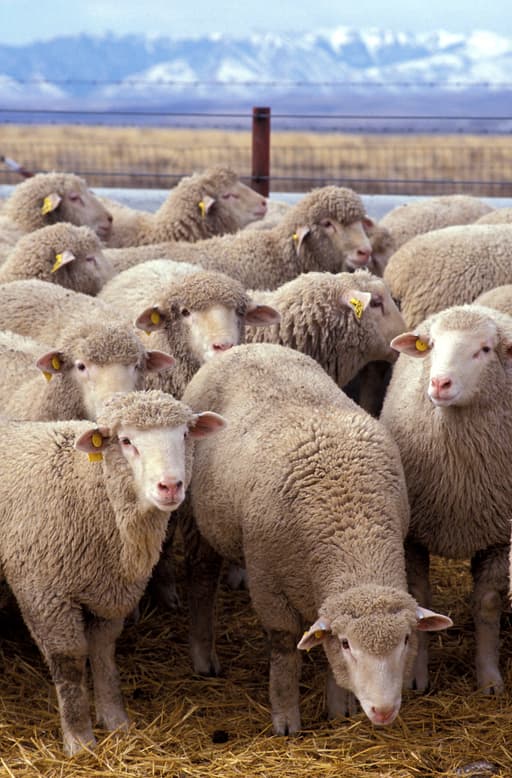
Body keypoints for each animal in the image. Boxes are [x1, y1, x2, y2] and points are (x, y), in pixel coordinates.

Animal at [0, 389, 225, 754]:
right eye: (126, 441)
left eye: (185, 435)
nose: (170, 486)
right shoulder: (44, 592)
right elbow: (70, 662)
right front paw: (79, 739)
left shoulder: (110, 590)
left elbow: (104, 654)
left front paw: (116, 721)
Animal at [179, 343, 452, 734]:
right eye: (348, 644)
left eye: (405, 639)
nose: (383, 711)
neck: (353, 531)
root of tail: (248, 346)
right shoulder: (268, 582)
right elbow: (283, 649)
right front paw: (286, 717)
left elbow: (322, 648)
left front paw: (339, 708)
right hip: (196, 520)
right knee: (201, 581)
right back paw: (204, 657)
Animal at [380, 304, 512, 695]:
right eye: (433, 345)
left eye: (485, 349)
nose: (440, 383)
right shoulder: (413, 536)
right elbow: (419, 598)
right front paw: (416, 676)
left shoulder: (498, 536)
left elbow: (487, 605)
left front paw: (489, 678)